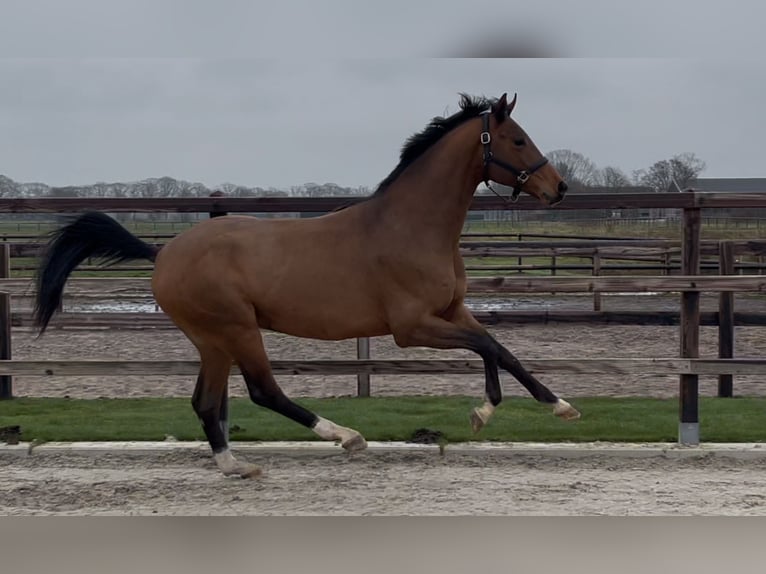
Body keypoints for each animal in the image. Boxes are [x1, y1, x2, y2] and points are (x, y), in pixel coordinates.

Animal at [33, 94, 580, 480]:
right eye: (517, 140)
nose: (559, 188)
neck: (409, 227)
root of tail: (162, 252)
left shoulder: (452, 312)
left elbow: (499, 348)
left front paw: (550, 406)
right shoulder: (412, 327)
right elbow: (489, 347)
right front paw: (492, 410)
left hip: (214, 340)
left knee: (207, 402)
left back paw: (234, 464)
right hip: (234, 330)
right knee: (262, 391)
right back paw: (345, 437)